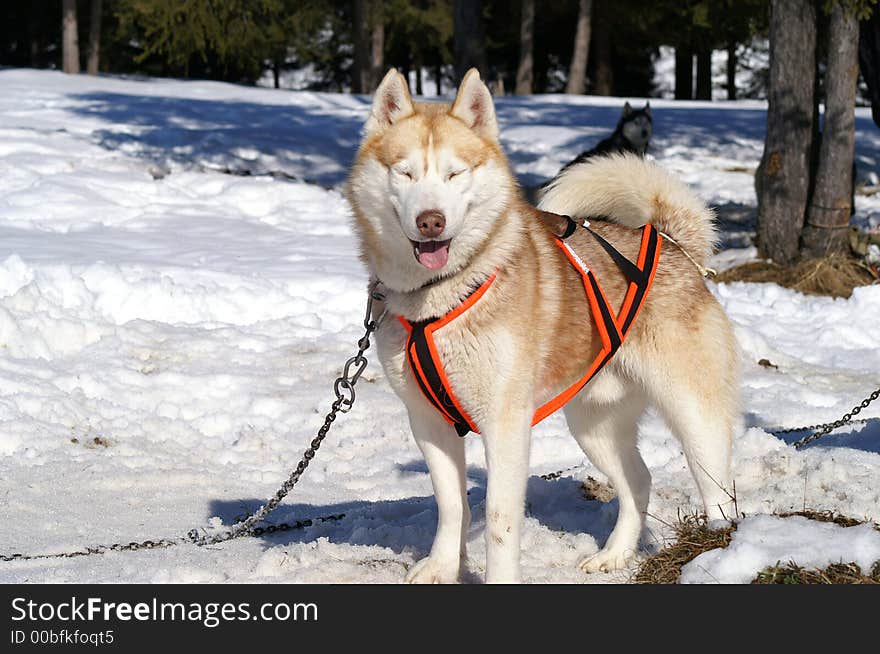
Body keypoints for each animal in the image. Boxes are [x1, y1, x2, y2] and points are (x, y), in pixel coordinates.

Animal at [348, 70, 740, 584]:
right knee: (638, 480)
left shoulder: (505, 426)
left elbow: (499, 521)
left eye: (456, 173)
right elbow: (452, 507)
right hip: (593, 425)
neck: (442, 294)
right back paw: (615, 555)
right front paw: (441, 566)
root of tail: (671, 242)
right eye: (405, 172)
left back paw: (719, 551)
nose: (430, 221)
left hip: (694, 418)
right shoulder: (429, 423)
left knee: (720, 492)